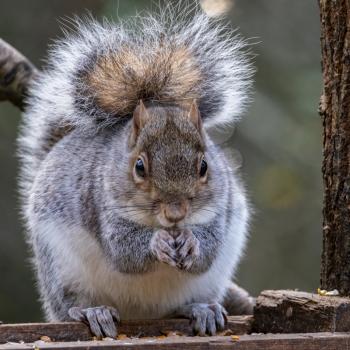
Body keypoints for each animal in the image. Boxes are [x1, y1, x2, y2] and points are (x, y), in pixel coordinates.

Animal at [17, 2, 253, 336]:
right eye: (139, 167)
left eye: (204, 166)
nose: (176, 212)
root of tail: (138, 314)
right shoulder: (100, 205)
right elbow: (124, 251)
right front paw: (157, 243)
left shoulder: (219, 209)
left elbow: (208, 248)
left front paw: (191, 242)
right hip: (61, 269)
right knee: (69, 306)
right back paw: (93, 312)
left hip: (209, 281)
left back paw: (200, 309)